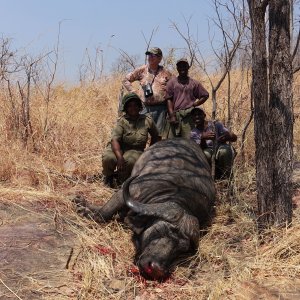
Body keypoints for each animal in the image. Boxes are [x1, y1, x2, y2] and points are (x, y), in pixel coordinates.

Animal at [73, 139, 214, 280]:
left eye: (181, 250)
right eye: (160, 230)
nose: (156, 269)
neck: (176, 192)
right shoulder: (127, 192)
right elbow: (103, 213)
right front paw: (84, 208)